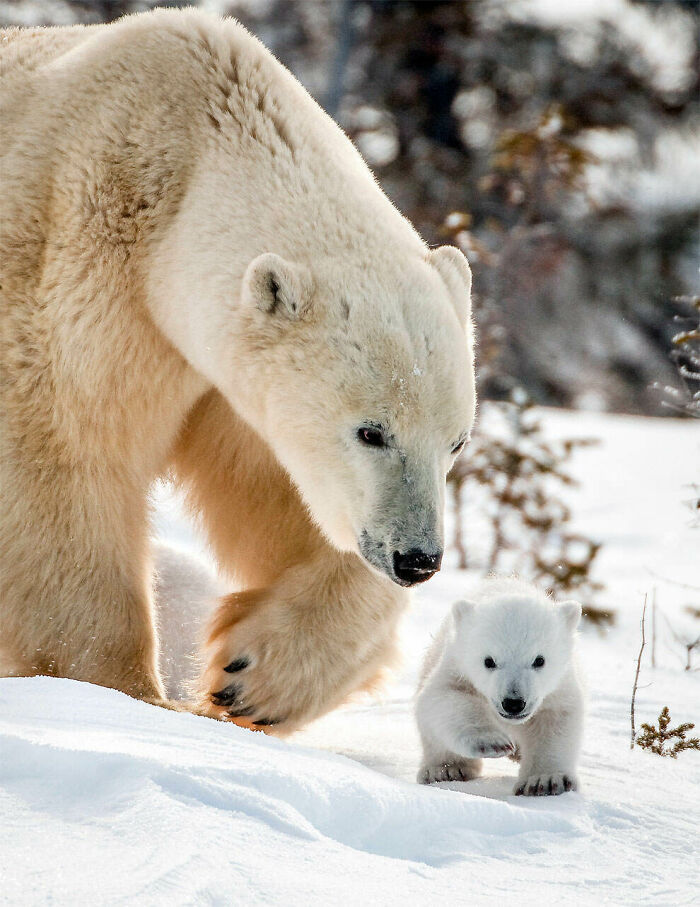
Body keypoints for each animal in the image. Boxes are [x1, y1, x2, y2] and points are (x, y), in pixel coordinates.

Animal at [0, 9, 475, 734]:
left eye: (456, 441)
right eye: (371, 431)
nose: (417, 558)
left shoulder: (223, 373)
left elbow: (277, 493)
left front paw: (252, 676)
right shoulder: (82, 268)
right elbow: (67, 454)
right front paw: (123, 694)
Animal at [415, 578, 584, 795]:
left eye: (539, 660)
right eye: (489, 661)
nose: (513, 703)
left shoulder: (559, 687)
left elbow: (556, 720)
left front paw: (544, 780)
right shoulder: (457, 667)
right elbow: (446, 696)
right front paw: (492, 742)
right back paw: (446, 770)